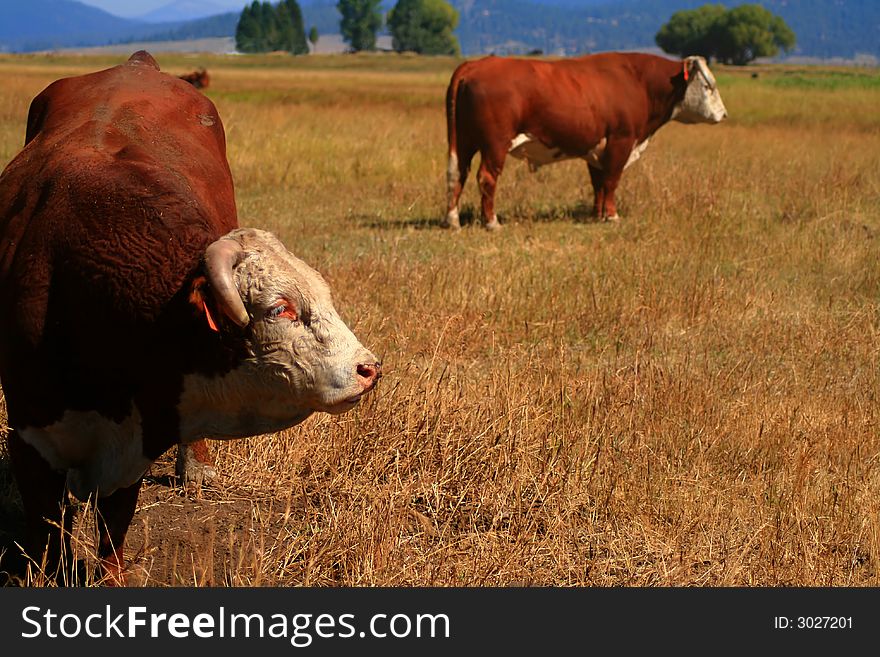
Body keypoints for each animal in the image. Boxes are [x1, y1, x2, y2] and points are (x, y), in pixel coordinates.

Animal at [0, 52, 380, 584]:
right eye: (280, 308)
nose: (369, 368)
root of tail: (138, 64)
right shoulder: (30, 441)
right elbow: (50, 536)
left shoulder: (133, 445)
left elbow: (114, 528)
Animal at [446, 52, 728, 229]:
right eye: (708, 87)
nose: (724, 115)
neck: (638, 82)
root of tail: (475, 65)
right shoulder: (621, 141)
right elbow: (611, 181)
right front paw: (612, 216)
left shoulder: (597, 148)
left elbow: (599, 183)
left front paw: (597, 215)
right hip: (495, 144)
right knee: (486, 177)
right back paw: (492, 222)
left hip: (463, 141)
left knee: (457, 174)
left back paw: (452, 220)